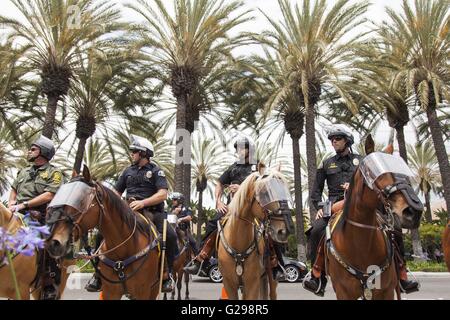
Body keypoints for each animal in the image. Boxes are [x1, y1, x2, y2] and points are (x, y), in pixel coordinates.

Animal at [218, 170, 292, 300]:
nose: (283, 231)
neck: (237, 243)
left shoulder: (252, 283)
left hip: (270, 277)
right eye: (265, 194)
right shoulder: (229, 284)